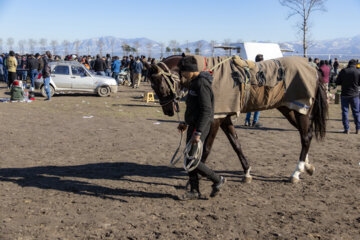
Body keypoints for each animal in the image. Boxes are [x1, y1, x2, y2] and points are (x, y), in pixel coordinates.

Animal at [143, 56, 326, 183]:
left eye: (158, 85)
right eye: (153, 86)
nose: (168, 111)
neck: (207, 74)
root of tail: (313, 69)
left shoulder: (215, 119)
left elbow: (207, 147)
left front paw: (198, 171)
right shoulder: (224, 117)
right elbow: (236, 143)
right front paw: (247, 172)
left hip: (301, 110)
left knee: (306, 137)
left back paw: (296, 172)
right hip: (289, 108)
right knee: (306, 134)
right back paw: (306, 166)